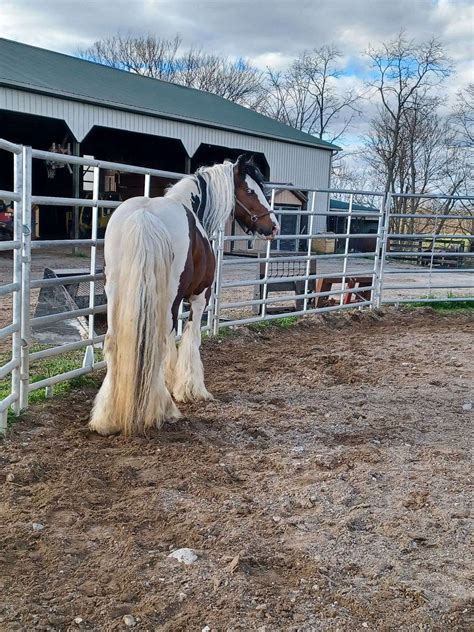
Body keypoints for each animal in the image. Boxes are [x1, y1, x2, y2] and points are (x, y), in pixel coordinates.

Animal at [88, 156, 278, 436]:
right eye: (251, 190)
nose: (273, 226)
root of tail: (144, 216)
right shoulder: (199, 298)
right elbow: (190, 339)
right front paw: (191, 389)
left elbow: (171, 344)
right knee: (155, 343)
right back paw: (162, 411)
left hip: (115, 294)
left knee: (114, 343)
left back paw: (106, 418)